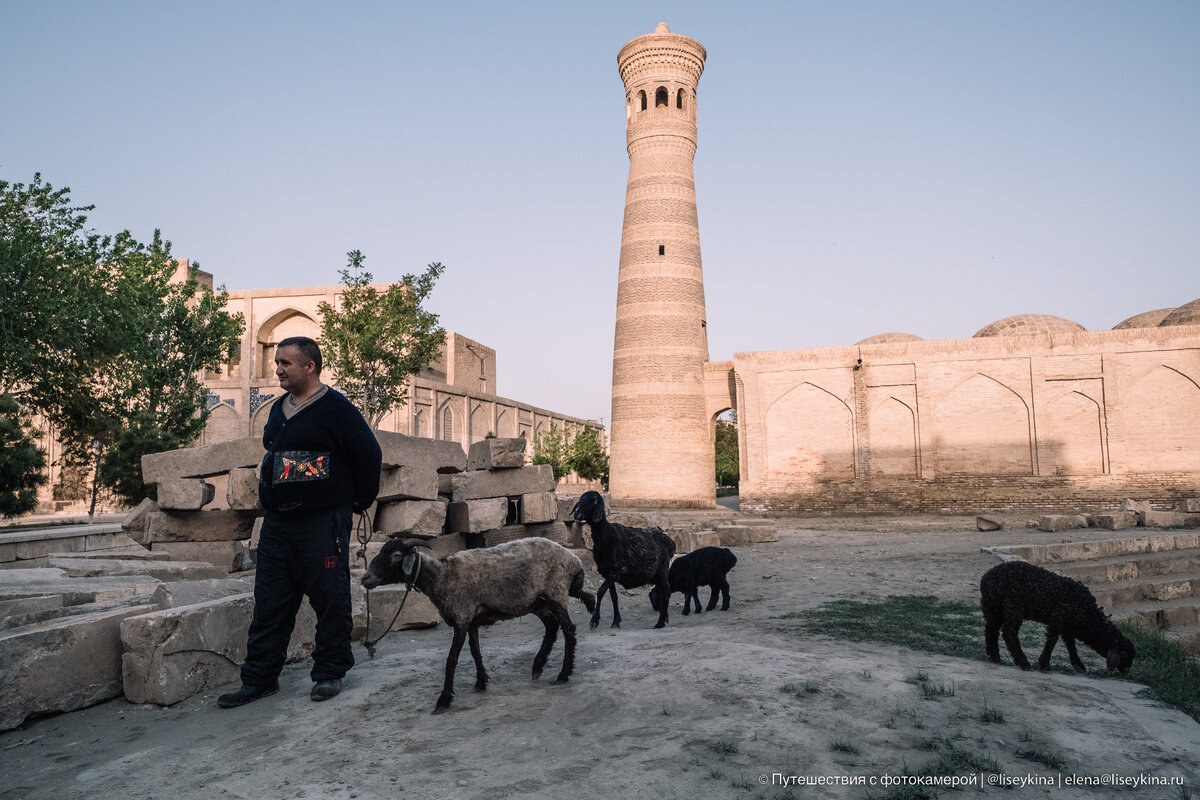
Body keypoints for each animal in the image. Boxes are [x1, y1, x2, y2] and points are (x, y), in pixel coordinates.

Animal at [571, 491, 676, 628]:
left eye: (594, 501)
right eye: (580, 499)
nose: (577, 513)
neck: (606, 536)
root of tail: (671, 541)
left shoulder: (615, 571)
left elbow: (600, 591)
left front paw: (595, 620)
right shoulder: (606, 572)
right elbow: (613, 596)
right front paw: (616, 621)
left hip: (663, 568)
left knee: (666, 592)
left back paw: (660, 622)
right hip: (656, 574)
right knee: (662, 592)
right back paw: (665, 617)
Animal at [974, 563, 1132, 676]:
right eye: (1124, 655)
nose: (1127, 672)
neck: (1089, 617)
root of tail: (985, 578)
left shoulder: (1067, 625)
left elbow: (1070, 644)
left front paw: (1078, 665)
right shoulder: (1058, 618)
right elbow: (1053, 640)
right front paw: (1044, 664)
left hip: (993, 607)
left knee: (991, 629)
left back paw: (994, 656)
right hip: (1013, 606)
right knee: (1008, 632)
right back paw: (1023, 662)